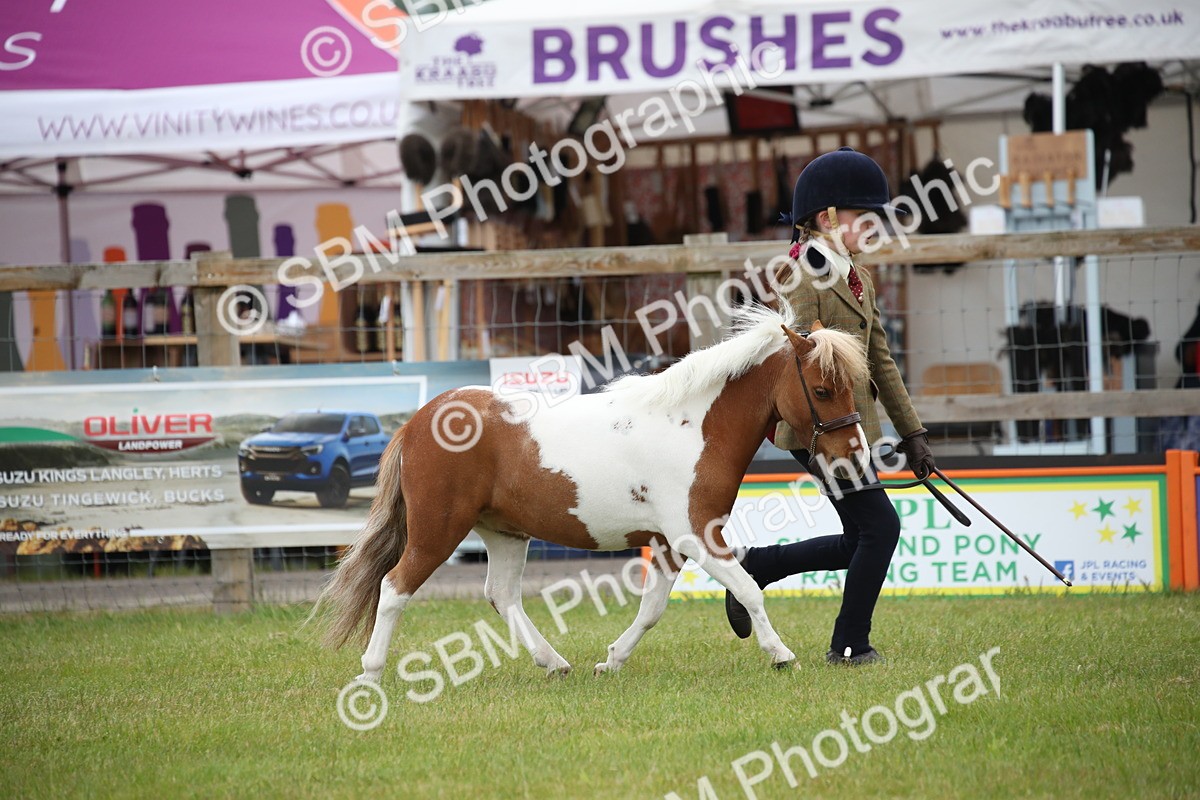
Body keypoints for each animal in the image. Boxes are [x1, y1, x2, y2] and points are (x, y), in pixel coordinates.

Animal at [315, 303, 870, 681]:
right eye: (822, 389)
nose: (856, 455)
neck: (692, 426)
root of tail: (418, 421)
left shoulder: (669, 545)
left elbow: (652, 610)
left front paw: (611, 661)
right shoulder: (695, 536)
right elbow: (750, 589)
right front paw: (781, 655)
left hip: (503, 532)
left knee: (501, 595)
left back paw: (554, 662)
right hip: (438, 529)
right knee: (394, 587)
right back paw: (371, 672)